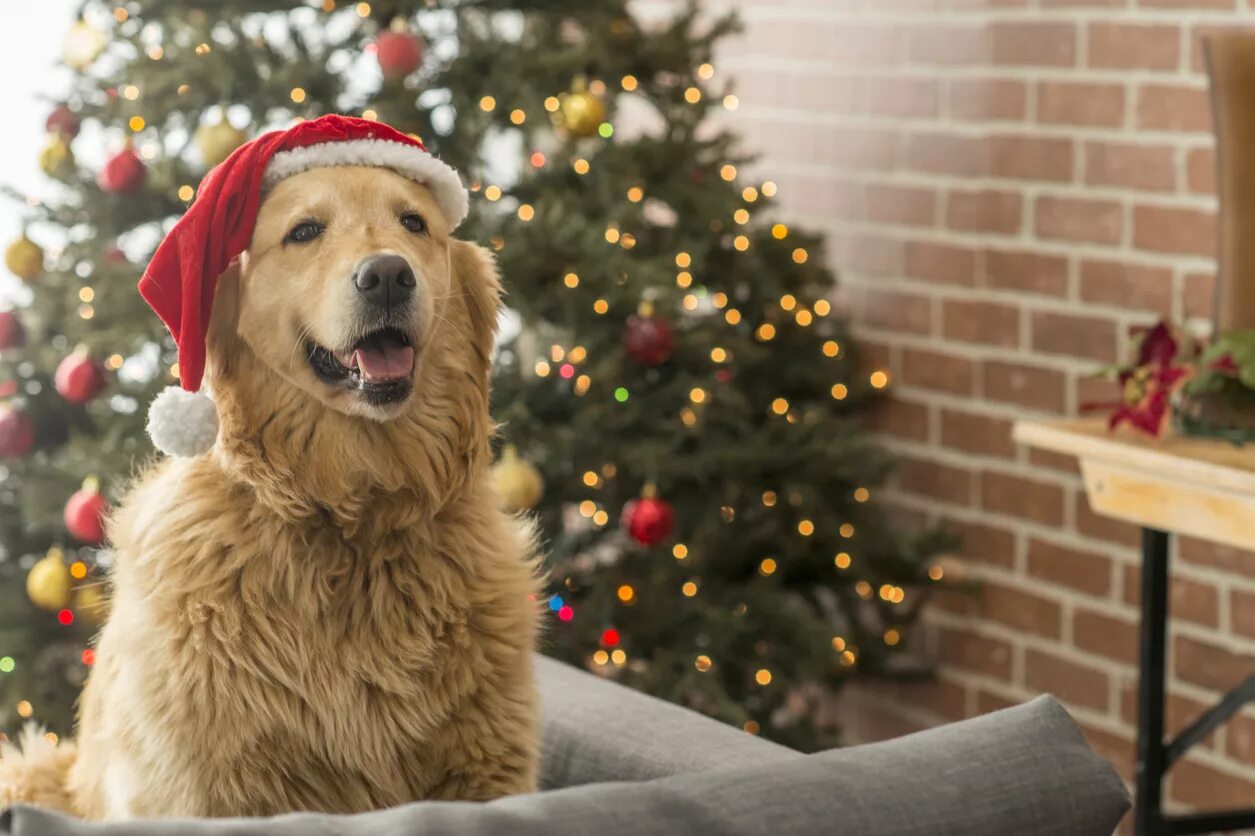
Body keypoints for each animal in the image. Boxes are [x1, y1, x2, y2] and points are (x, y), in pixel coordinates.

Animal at [4, 165, 544, 818]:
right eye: (304, 231)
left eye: (414, 222)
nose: (388, 275)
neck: (353, 518)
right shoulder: (204, 793)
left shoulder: (489, 775)